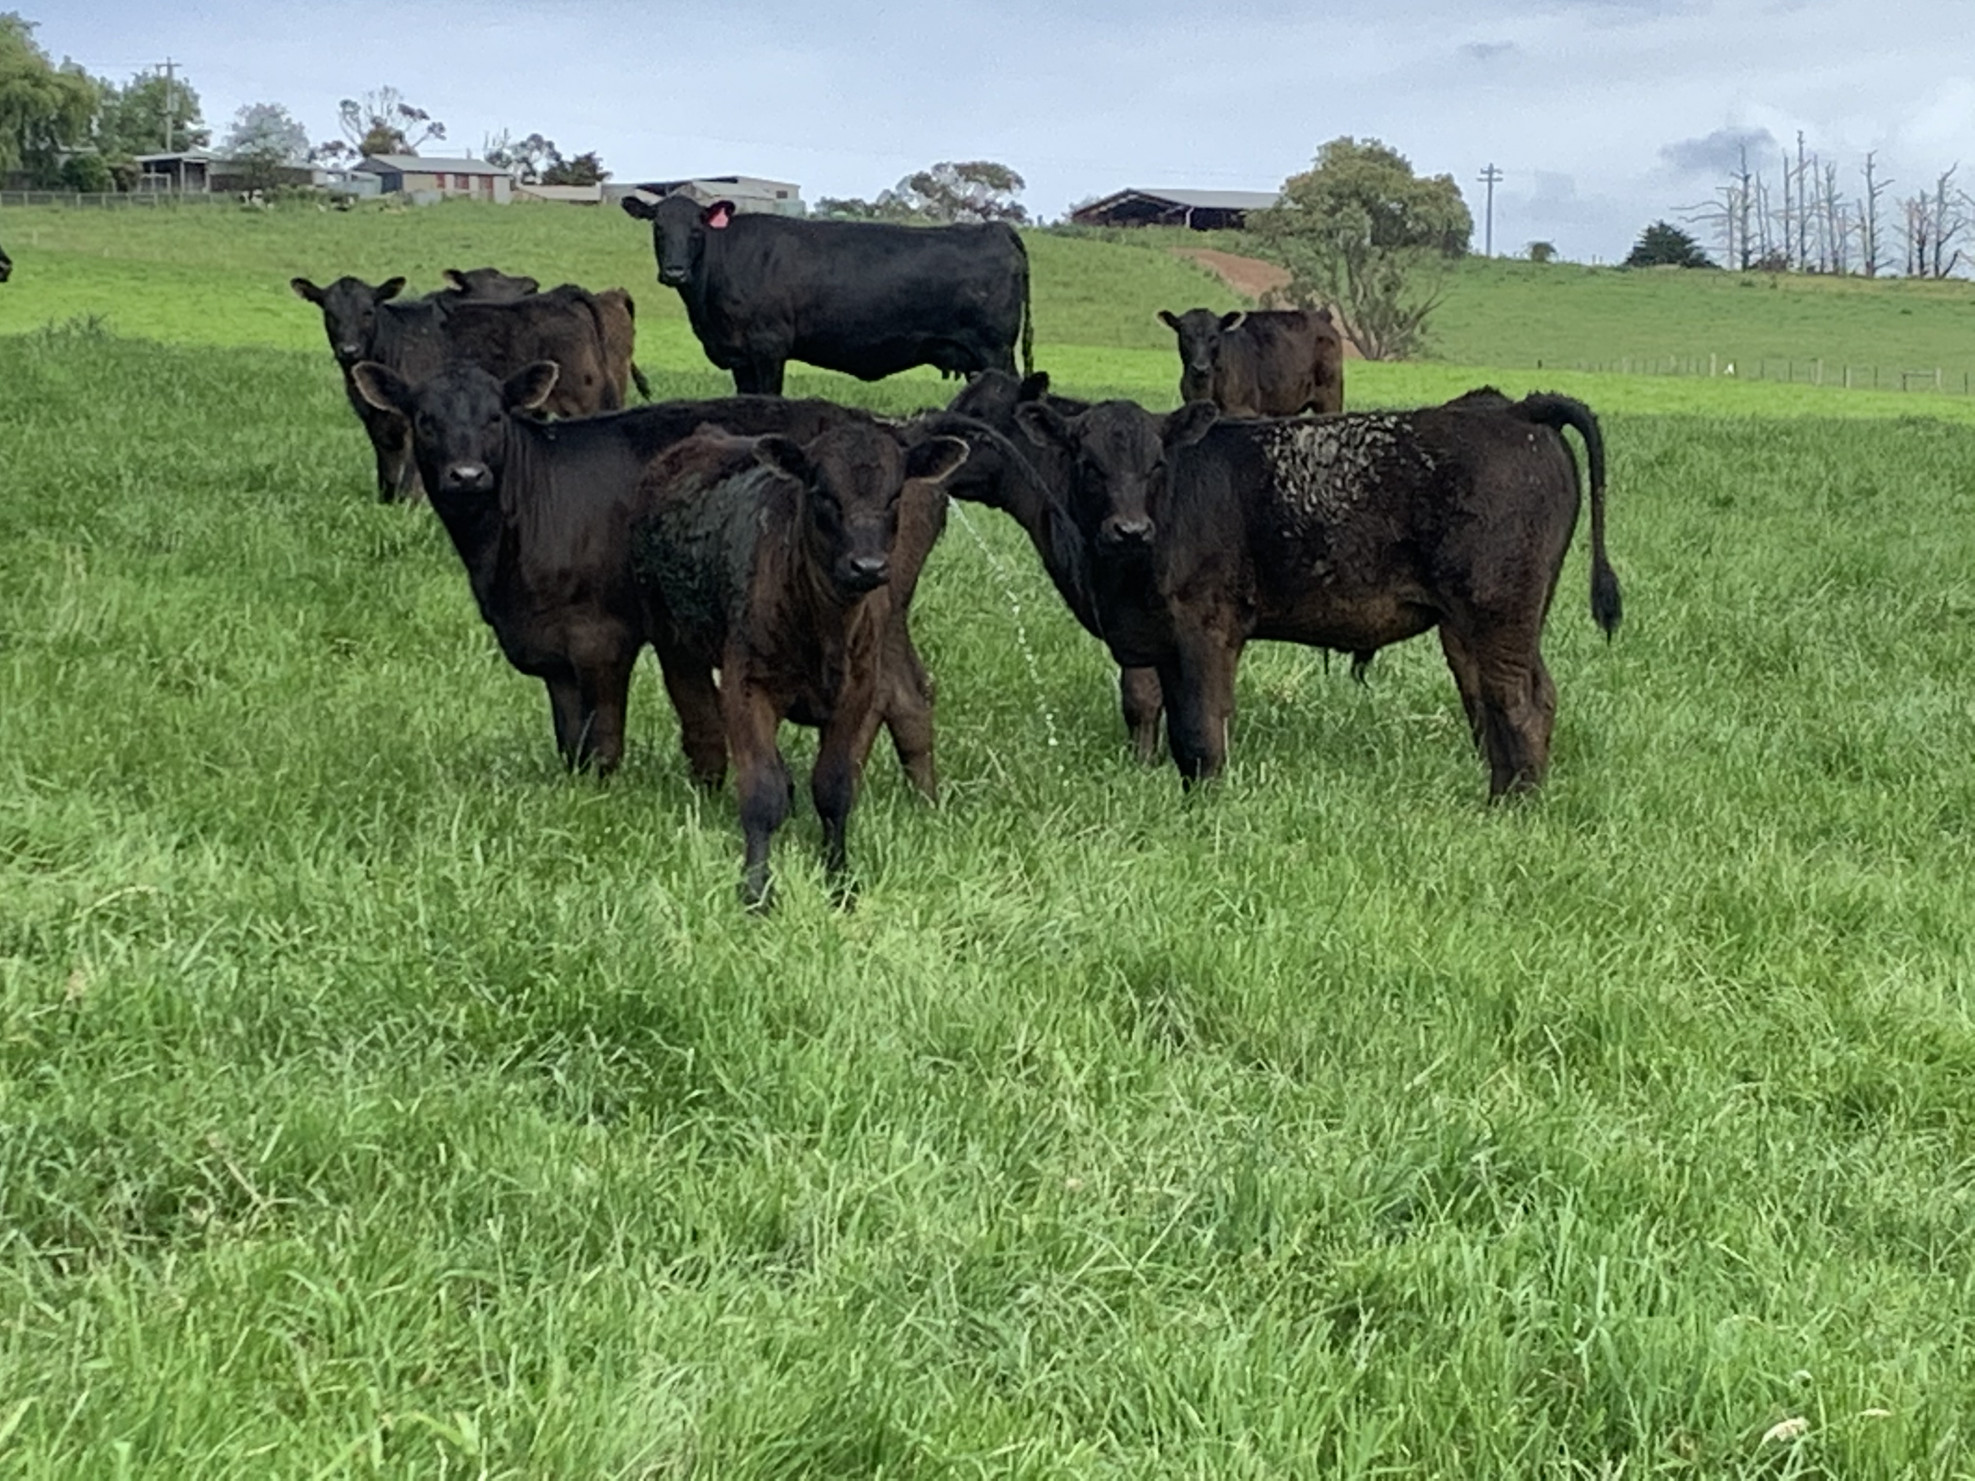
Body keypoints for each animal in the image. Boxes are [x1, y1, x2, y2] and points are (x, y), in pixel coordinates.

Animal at [290, 274, 620, 501]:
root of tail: (563, 294)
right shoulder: (377, 424)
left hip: (585, 400)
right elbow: (387, 477)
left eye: (368, 311)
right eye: (329, 313)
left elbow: (409, 481)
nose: (349, 349)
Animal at [620, 191, 1032, 395]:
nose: (674, 271)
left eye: (697, 229)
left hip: (995, 351)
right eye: (658, 227)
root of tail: (995, 228)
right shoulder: (739, 357)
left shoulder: (769, 347)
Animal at [629, 425, 969, 907]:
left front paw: (840, 880)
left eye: (894, 495)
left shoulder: (857, 691)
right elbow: (760, 790)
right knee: (702, 719)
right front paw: (756, 889)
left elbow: (834, 788)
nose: (868, 566)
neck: (825, 628)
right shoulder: (747, 683)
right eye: (823, 493)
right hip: (672, 635)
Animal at [1009, 388, 1621, 795]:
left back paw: (1510, 807)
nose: (1130, 530)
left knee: (1517, 704)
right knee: (1534, 698)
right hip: (1512, 622)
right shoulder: (1160, 639)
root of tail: (1518, 411)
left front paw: (1208, 809)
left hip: (1495, 613)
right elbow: (1172, 723)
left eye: (1157, 463)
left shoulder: (1206, 630)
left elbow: (1202, 731)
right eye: (1087, 464)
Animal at [1157, 307, 1344, 417]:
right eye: (1185, 336)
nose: (1200, 368)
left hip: (1330, 399)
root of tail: (1321, 316)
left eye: (1214, 336)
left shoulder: (1243, 411)